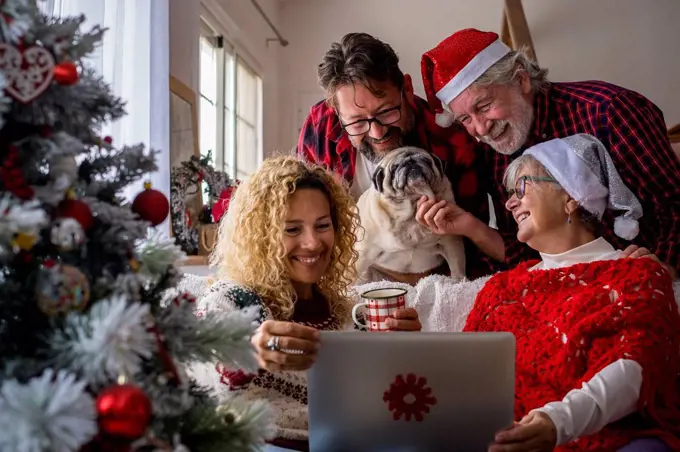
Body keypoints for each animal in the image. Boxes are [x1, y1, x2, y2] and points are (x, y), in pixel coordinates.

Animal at [356, 147, 468, 284]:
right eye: (394, 168)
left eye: (426, 160)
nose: (410, 163)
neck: (412, 213)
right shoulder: (364, 252)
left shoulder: (451, 242)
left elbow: (457, 266)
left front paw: (459, 281)